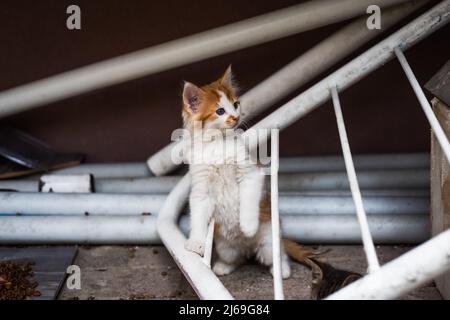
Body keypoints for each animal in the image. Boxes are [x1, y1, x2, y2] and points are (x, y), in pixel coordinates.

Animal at [183, 67, 292, 278]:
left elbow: (248, 200)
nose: (236, 117)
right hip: (225, 247)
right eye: (220, 111)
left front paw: (248, 225)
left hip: (268, 240)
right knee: (236, 258)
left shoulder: (251, 173)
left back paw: (282, 270)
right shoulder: (201, 189)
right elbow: (198, 216)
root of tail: (247, 247)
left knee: (277, 254)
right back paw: (224, 266)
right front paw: (196, 242)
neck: (218, 143)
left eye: (235, 104)